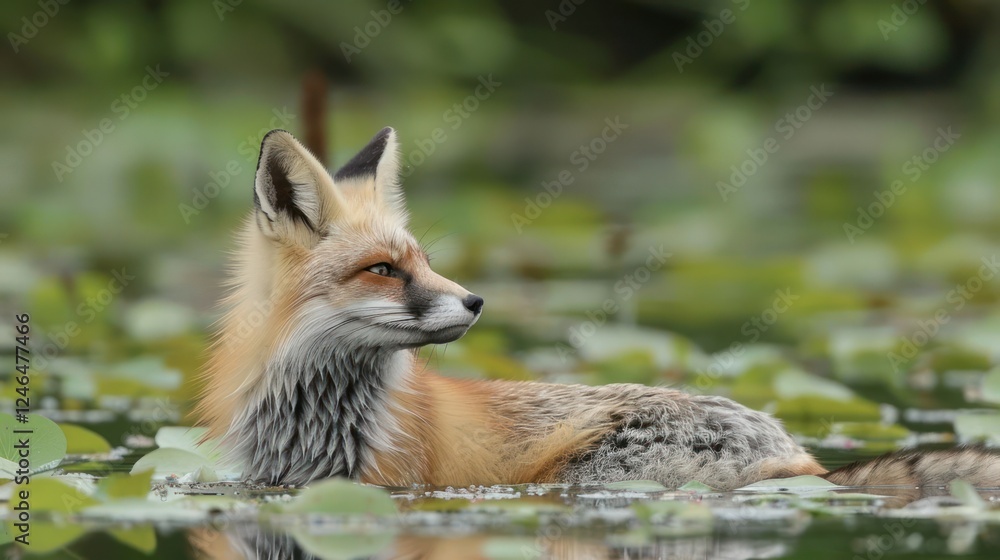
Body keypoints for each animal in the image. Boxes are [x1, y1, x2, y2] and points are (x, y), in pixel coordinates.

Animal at [195, 126, 1000, 493]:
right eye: (385, 271)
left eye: (422, 261)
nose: (475, 301)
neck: (321, 417)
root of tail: (805, 462)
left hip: (592, 476)